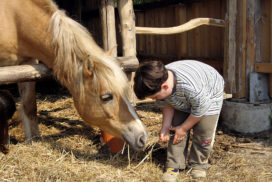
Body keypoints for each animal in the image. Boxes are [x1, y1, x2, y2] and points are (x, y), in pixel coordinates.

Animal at [0, 0, 149, 151]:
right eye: (106, 97)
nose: (142, 137)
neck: (15, 21)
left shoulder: (27, 63)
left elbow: (30, 106)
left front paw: (34, 139)